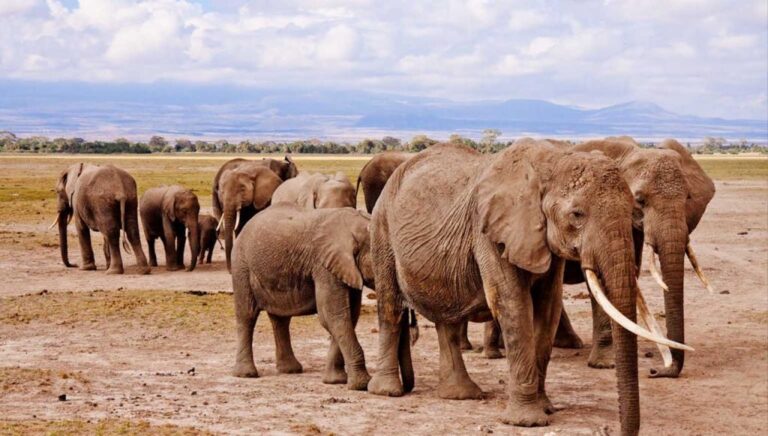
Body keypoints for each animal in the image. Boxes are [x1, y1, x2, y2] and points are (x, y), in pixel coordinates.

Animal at [231, 204, 374, 390]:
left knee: (281, 319)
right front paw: (361, 385)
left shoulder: (345, 269)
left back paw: (290, 370)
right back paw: (246, 374)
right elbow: (333, 315)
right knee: (246, 315)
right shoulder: (324, 266)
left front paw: (335, 381)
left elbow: (348, 316)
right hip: (241, 265)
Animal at [367, 139, 691, 435]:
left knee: (446, 318)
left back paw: (460, 394)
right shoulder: (490, 233)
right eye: (577, 215)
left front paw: (546, 407)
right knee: (391, 307)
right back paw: (387, 391)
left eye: (633, 207)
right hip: (382, 229)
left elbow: (547, 308)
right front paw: (528, 421)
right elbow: (513, 304)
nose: (654, 371)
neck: (550, 162)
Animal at [550, 136, 715, 378]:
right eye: (639, 200)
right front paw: (607, 364)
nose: (656, 371)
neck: (630, 152)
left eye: (688, 198)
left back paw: (569, 344)